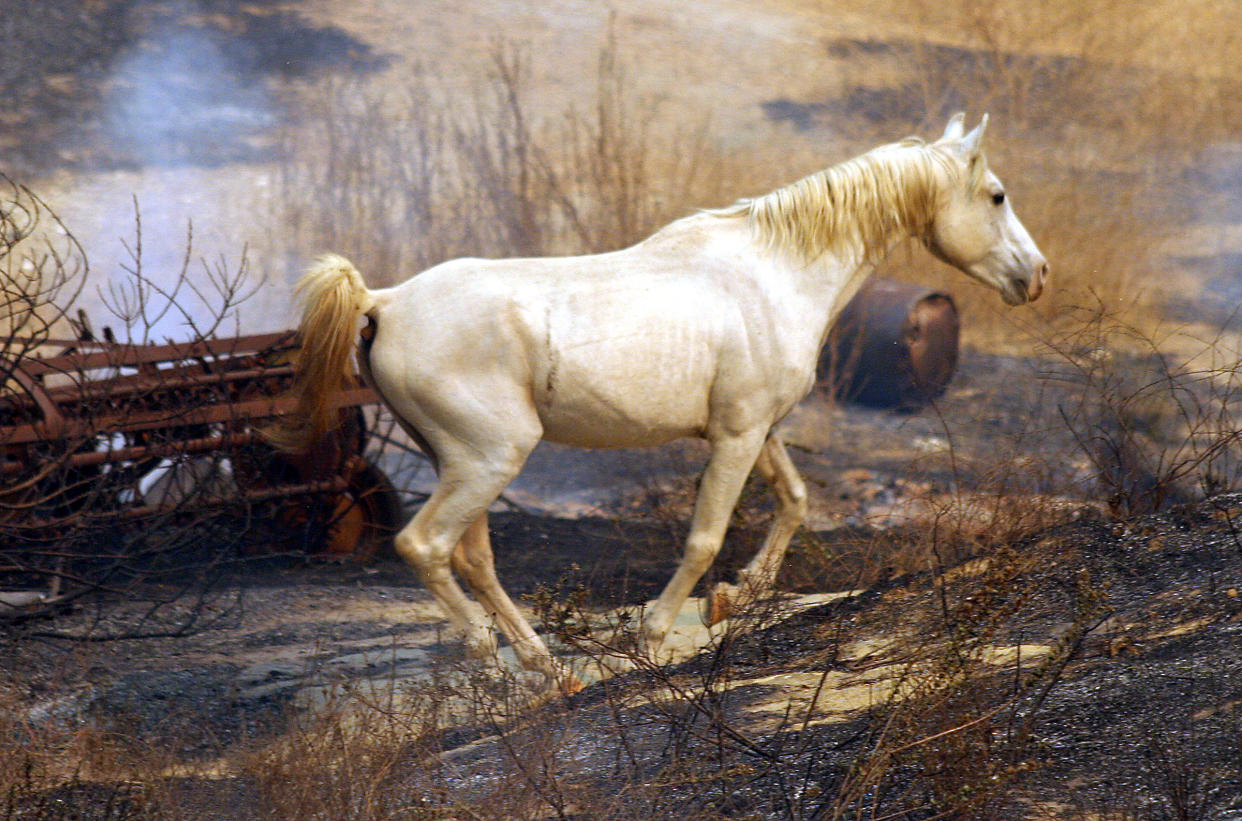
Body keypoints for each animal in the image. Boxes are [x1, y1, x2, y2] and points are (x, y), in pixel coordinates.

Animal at [269, 113, 1048, 690]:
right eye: (997, 195)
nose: (1036, 276)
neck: (774, 271)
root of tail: (383, 300)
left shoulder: (756, 429)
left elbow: (794, 500)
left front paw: (738, 595)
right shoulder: (736, 436)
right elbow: (705, 536)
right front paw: (656, 630)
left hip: (461, 463)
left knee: (473, 559)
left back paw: (544, 665)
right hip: (488, 459)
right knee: (424, 546)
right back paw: (492, 661)